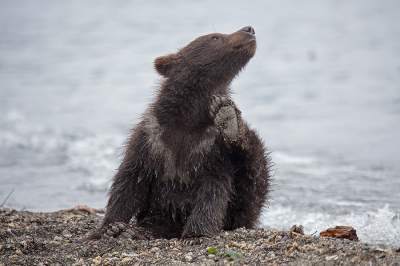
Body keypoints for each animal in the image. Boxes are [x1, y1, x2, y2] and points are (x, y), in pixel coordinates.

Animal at [93, 26, 272, 239]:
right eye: (215, 37)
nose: (249, 29)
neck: (188, 119)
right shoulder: (150, 138)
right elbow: (129, 181)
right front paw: (112, 227)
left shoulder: (211, 146)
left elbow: (213, 190)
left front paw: (196, 233)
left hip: (242, 207)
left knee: (253, 168)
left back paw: (230, 120)